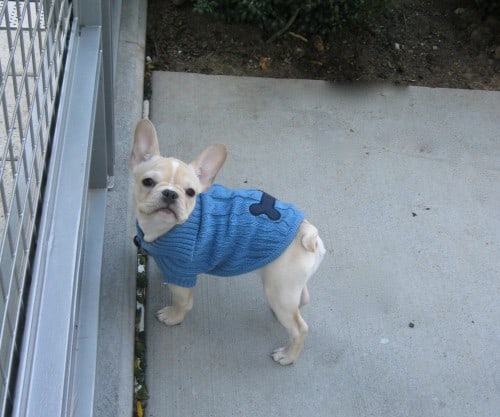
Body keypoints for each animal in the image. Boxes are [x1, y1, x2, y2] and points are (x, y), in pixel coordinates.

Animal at [129, 118, 324, 364]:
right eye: (148, 182)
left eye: (191, 192)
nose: (170, 194)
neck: (164, 228)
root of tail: (306, 229)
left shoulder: (183, 273)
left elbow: (183, 302)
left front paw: (173, 316)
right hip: (287, 285)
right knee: (303, 298)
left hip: (280, 287)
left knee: (300, 328)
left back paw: (288, 355)